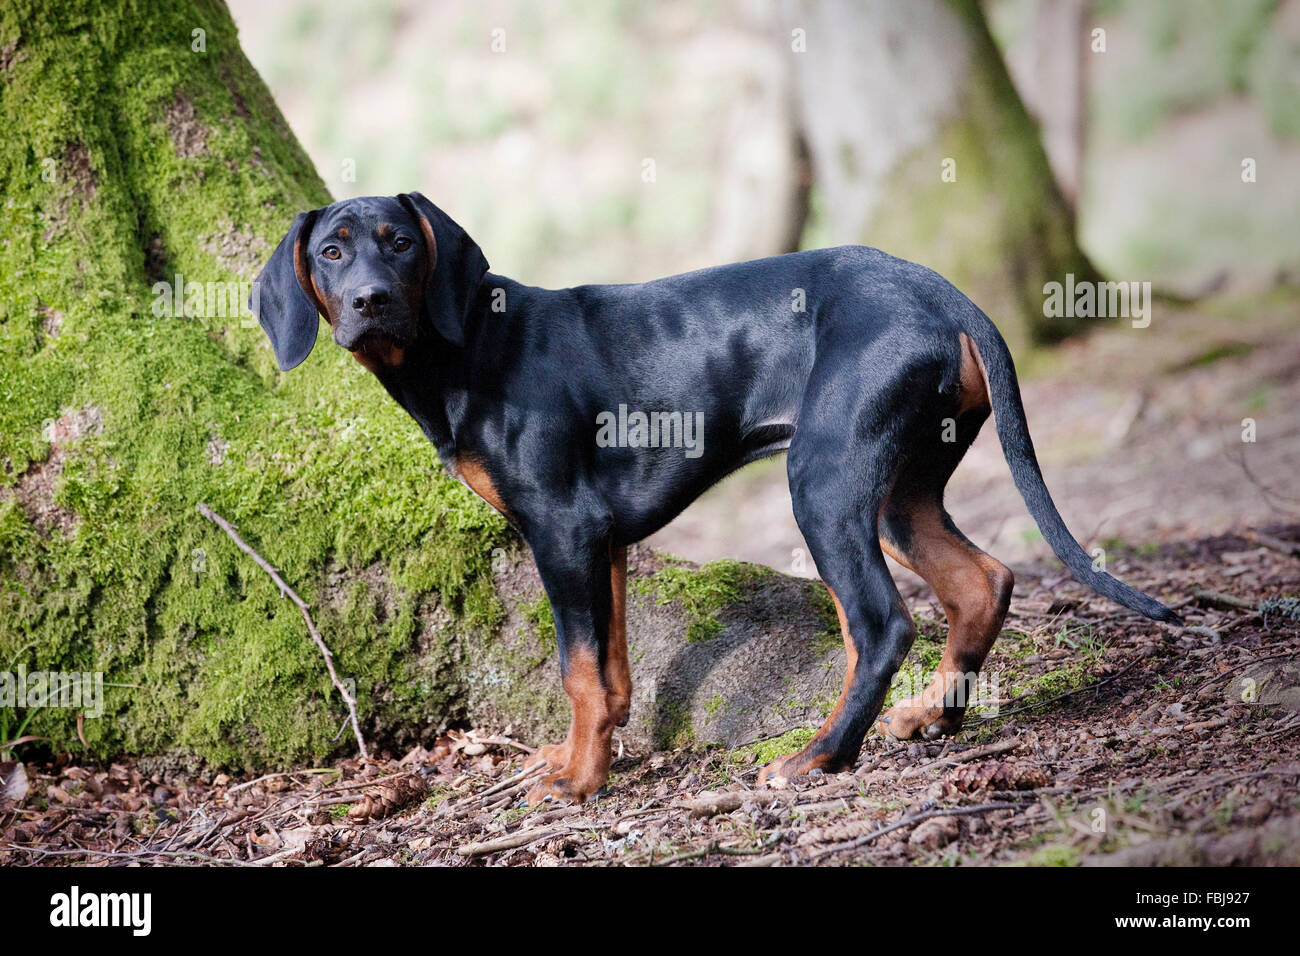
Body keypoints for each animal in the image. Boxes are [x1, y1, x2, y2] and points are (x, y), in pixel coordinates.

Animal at [250, 191, 1180, 806]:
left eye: (399, 243)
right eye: (332, 252)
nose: (369, 301)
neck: (468, 344)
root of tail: (939, 292)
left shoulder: (562, 528)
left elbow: (576, 668)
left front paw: (579, 781)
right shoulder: (602, 541)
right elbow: (610, 670)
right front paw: (593, 754)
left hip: (824, 482)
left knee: (881, 624)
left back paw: (818, 757)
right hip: (899, 490)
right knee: (983, 581)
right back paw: (930, 718)